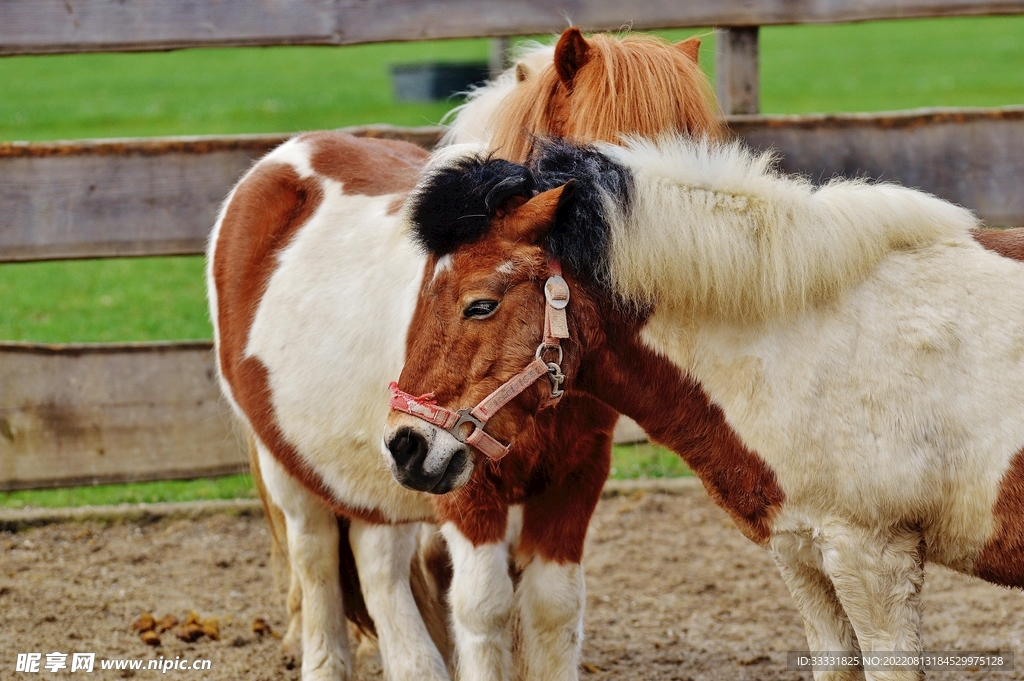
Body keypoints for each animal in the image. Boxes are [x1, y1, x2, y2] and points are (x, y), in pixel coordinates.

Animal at [209, 29, 719, 681]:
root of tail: (283, 160)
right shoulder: (463, 486)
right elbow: (483, 610)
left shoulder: (576, 477)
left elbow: (554, 608)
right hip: (297, 467)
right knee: (317, 559)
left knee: (377, 558)